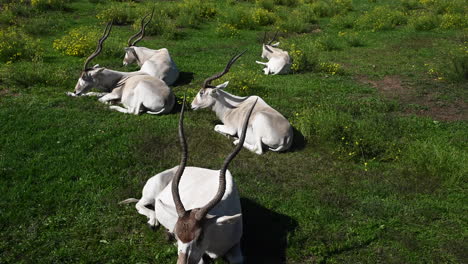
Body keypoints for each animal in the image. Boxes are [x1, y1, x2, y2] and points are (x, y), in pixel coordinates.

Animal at [118, 96, 256, 262]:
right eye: (178, 235)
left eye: (200, 236)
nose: (181, 262)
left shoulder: (234, 244)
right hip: (151, 193)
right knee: (139, 204)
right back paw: (153, 221)